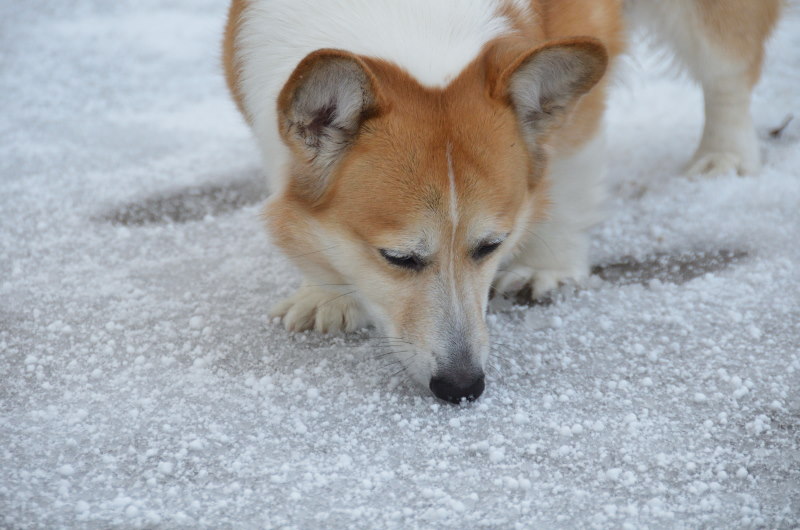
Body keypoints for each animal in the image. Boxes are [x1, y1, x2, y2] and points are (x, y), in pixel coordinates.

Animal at [223, 0, 780, 402]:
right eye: (397, 258)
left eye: (491, 246)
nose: (463, 388)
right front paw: (327, 292)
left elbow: (564, 177)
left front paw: (548, 268)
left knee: (727, 70)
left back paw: (725, 158)